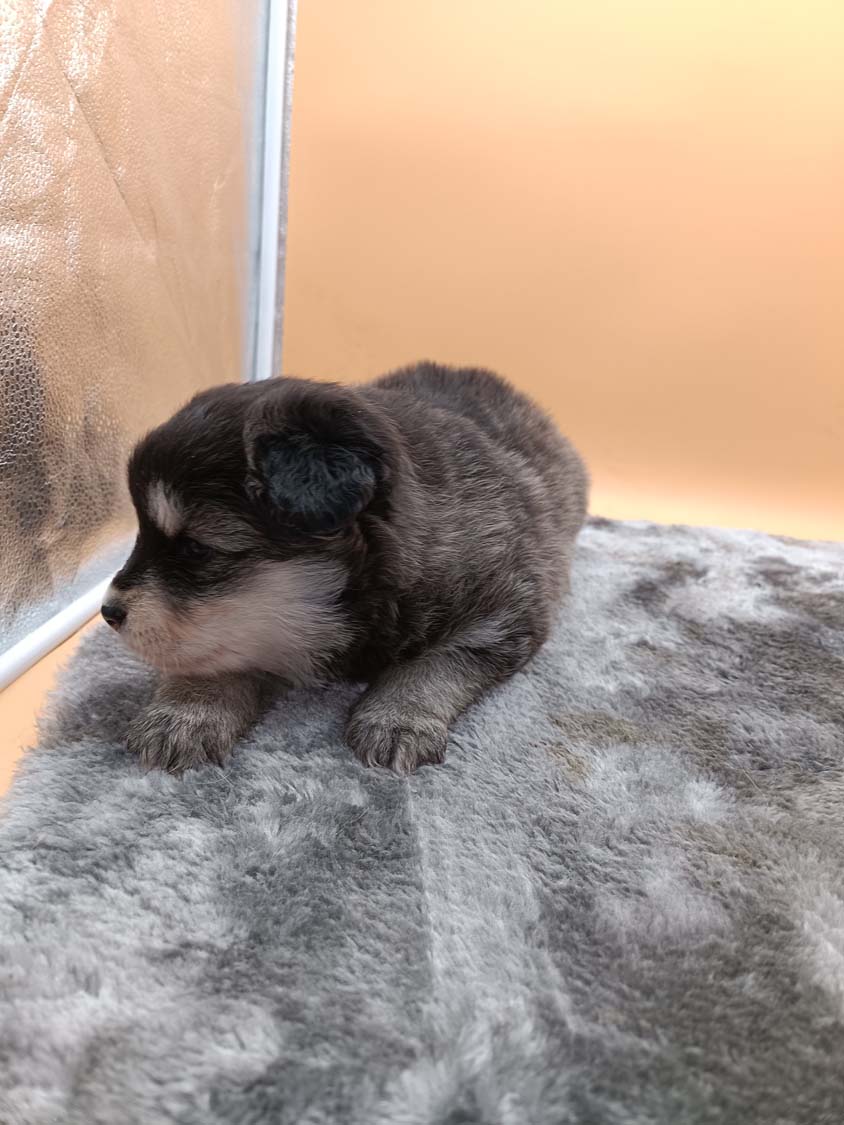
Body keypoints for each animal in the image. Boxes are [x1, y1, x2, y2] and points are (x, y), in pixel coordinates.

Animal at [103, 362, 588, 774]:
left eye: (196, 549)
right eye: (141, 535)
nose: (108, 612)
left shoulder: (503, 616)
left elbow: (434, 663)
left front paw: (397, 720)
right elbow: (219, 651)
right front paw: (185, 713)